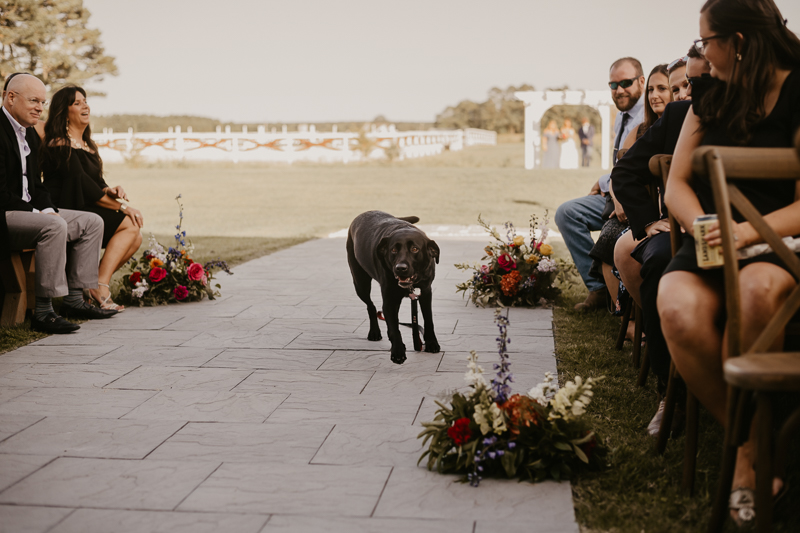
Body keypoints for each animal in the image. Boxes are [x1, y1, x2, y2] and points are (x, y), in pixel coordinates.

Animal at [346, 210, 440, 364]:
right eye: (394, 250)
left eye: (415, 249)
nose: (400, 268)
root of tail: (364, 213)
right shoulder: (389, 300)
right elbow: (394, 328)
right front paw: (397, 351)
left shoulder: (426, 292)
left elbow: (428, 319)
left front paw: (432, 343)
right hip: (360, 283)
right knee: (371, 307)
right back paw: (374, 332)